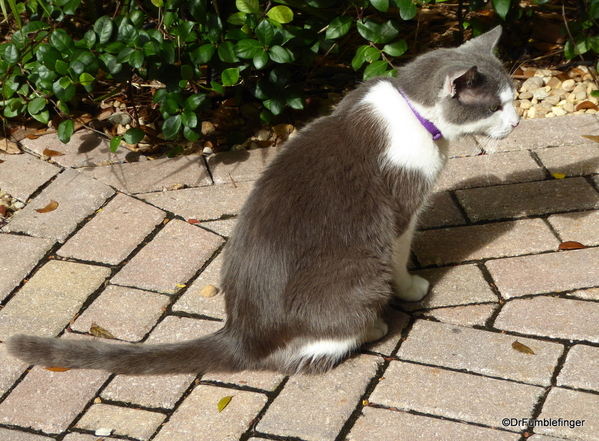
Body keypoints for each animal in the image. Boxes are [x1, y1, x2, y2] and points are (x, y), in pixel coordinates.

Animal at [4, 24, 520, 374]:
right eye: (496, 106)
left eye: (514, 99)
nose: (516, 123)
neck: (413, 113)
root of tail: (242, 334)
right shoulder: (400, 212)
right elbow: (401, 255)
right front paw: (412, 287)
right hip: (360, 270)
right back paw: (372, 327)